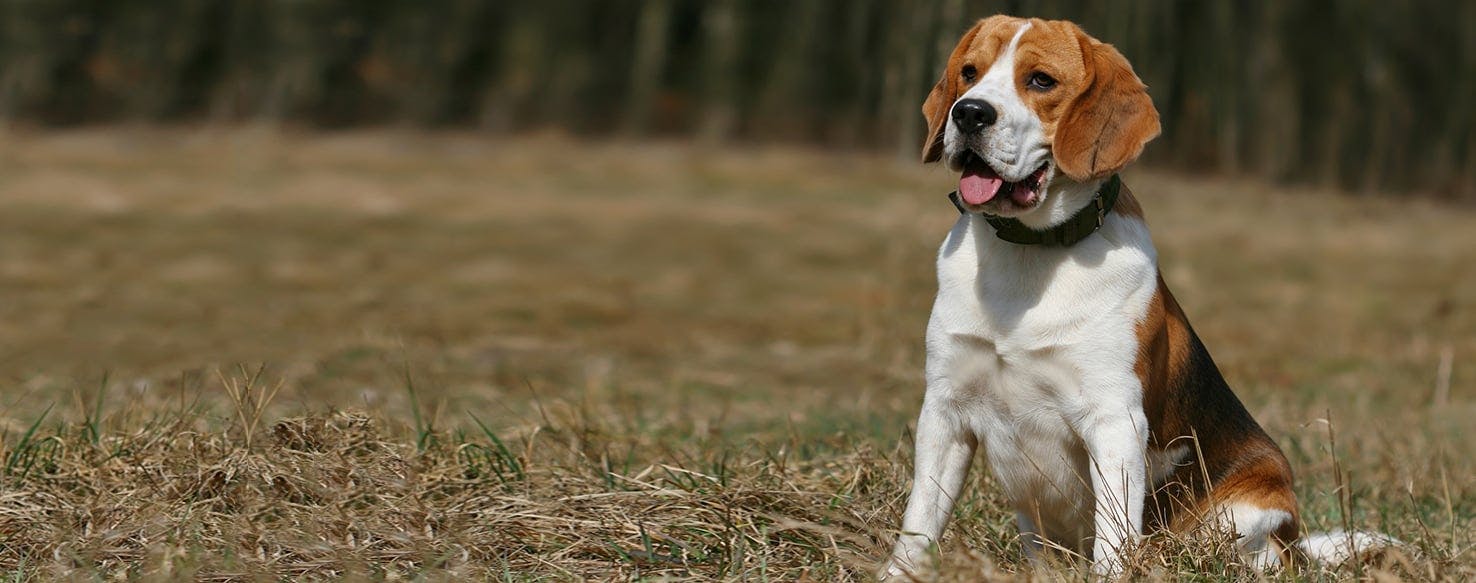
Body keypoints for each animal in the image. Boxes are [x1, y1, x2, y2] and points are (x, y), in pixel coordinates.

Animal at [885, 13, 1393, 578]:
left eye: (1040, 80)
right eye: (969, 73)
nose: (968, 112)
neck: (1030, 254)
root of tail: (1297, 548)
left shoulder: (1113, 420)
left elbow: (1112, 538)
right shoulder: (945, 410)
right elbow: (919, 524)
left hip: (1247, 510)